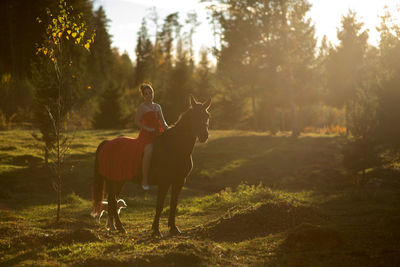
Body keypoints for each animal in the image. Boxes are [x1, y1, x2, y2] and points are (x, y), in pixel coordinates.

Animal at [92, 96, 211, 237]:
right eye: (195, 116)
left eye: (207, 116)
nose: (204, 136)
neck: (175, 147)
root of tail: (107, 143)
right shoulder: (164, 181)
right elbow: (160, 204)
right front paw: (156, 230)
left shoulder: (179, 181)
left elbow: (173, 203)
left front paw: (173, 228)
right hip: (114, 181)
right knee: (112, 202)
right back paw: (120, 227)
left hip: (119, 181)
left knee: (113, 202)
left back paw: (117, 228)